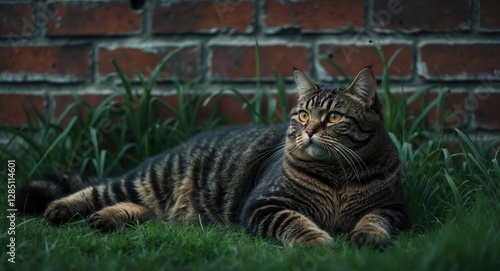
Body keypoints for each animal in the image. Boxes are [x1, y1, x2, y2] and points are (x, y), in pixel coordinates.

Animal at [15, 67, 408, 249]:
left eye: (334, 117)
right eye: (302, 114)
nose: (309, 130)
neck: (338, 176)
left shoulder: (393, 208)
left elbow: (374, 220)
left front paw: (367, 236)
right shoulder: (264, 204)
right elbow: (295, 221)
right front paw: (316, 240)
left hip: (157, 205)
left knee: (144, 211)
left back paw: (106, 219)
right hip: (147, 179)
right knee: (97, 189)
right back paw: (61, 208)